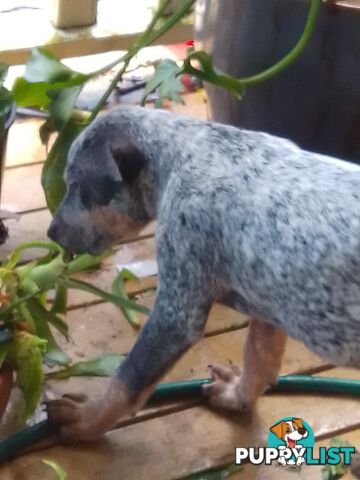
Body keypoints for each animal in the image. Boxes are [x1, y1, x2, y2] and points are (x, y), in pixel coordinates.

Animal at [46, 107, 360, 444]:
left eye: (76, 185)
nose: (51, 233)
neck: (186, 152)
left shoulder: (176, 312)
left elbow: (126, 381)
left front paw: (85, 419)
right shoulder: (267, 301)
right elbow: (259, 359)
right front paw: (236, 397)